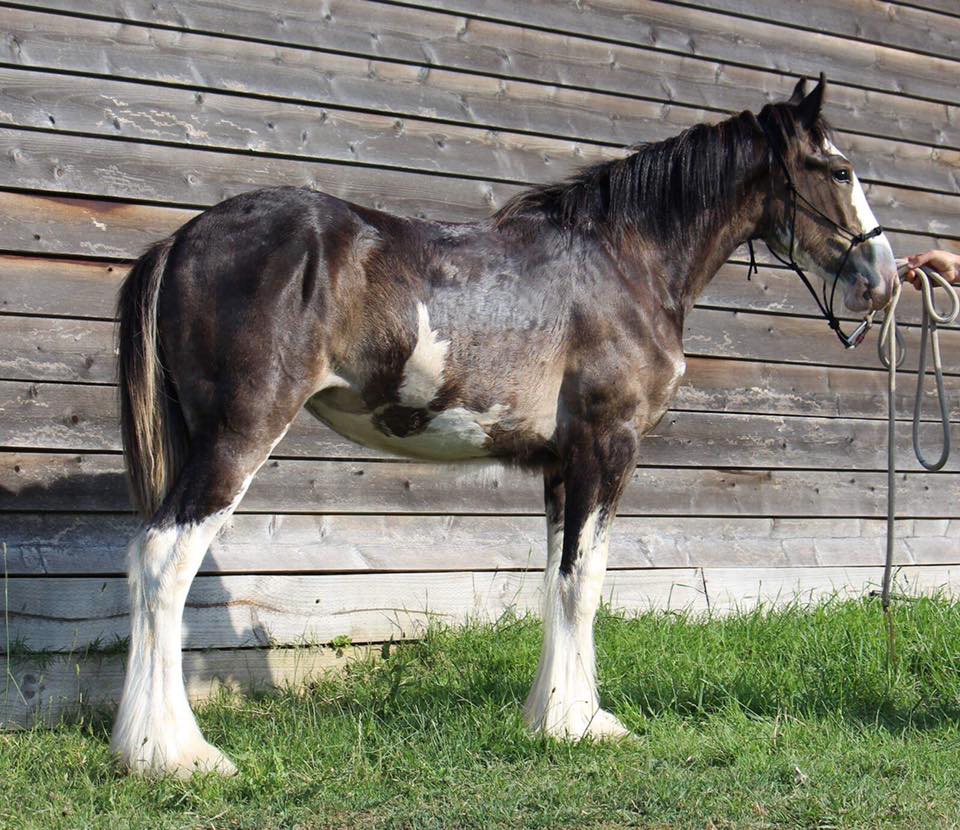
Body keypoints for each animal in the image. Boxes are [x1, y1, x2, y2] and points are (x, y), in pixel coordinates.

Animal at [110, 74, 897, 777]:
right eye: (840, 169)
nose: (883, 280)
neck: (624, 261)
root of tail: (182, 240)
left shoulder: (560, 466)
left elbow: (556, 578)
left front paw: (555, 716)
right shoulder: (607, 449)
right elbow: (586, 583)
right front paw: (580, 724)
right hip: (236, 439)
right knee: (163, 562)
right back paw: (174, 755)